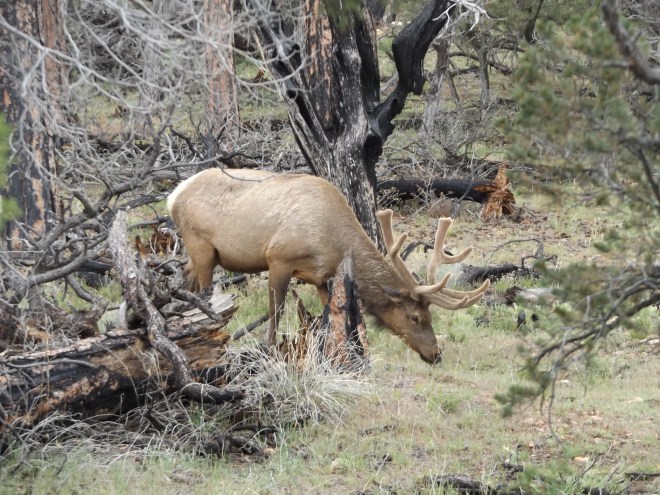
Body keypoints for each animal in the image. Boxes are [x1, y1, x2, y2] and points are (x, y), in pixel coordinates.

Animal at [166, 168, 489, 364]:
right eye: (415, 317)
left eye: (430, 316)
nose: (435, 353)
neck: (331, 242)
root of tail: (173, 195)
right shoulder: (278, 258)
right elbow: (276, 311)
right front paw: (268, 349)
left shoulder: (322, 277)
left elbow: (330, 316)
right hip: (201, 244)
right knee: (202, 292)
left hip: (200, 253)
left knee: (185, 279)